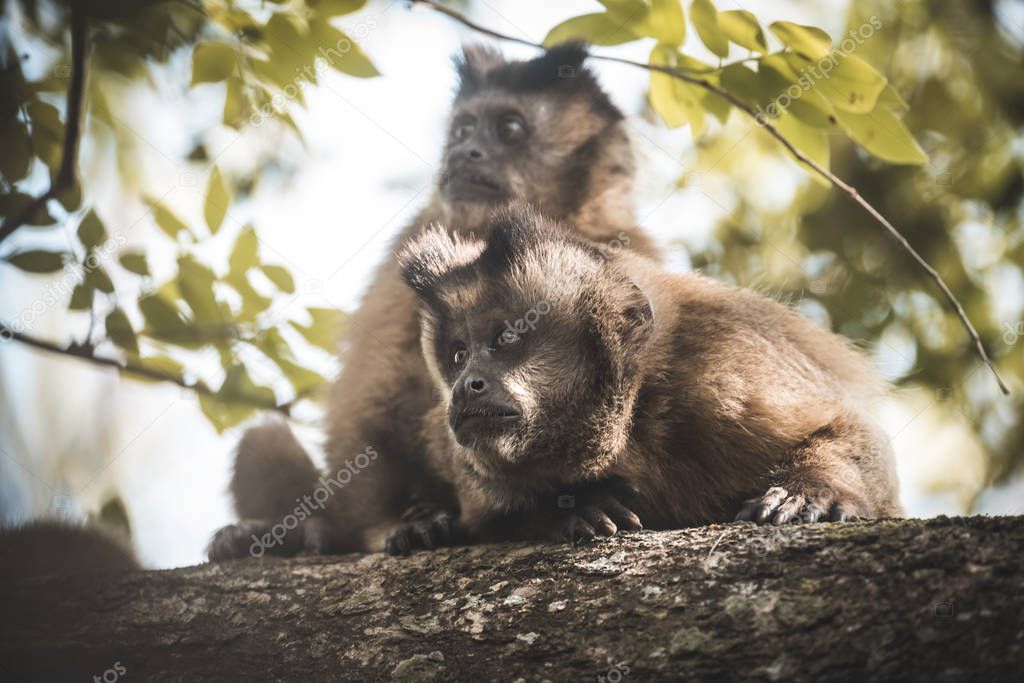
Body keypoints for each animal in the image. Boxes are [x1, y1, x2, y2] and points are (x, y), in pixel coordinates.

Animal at [208, 42, 659, 561]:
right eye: (463, 129)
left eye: (509, 129)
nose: (464, 152)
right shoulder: (412, 245)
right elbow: (370, 405)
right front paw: (397, 524)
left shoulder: (624, 247)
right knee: (270, 435)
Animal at [399, 202, 905, 544]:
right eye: (459, 355)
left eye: (506, 338)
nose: (467, 386)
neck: (635, 416)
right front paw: (572, 506)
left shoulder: (722, 372)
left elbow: (851, 430)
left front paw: (809, 490)